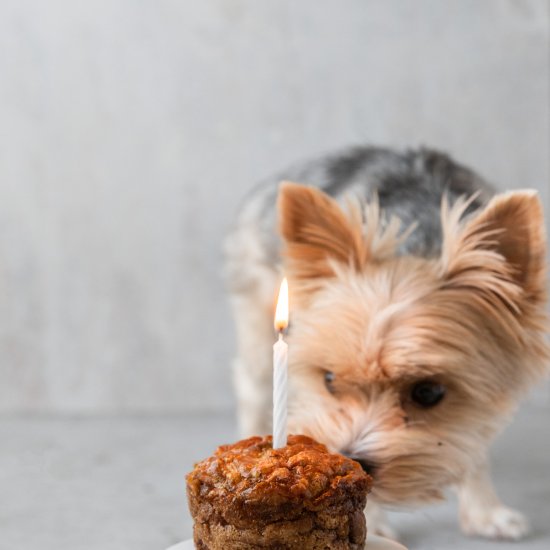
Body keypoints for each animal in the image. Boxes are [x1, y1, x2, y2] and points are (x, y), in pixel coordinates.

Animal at [225, 147, 550, 544]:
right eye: (329, 379)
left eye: (428, 392)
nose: (353, 459)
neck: (420, 245)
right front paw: (374, 522)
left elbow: (472, 444)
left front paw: (485, 511)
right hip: (262, 314)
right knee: (251, 382)